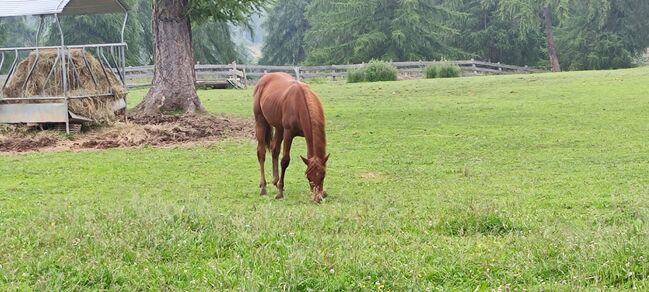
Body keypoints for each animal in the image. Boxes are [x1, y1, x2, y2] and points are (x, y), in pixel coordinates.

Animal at [253, 72, 330, 203]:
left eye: (323, 175)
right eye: (308, 177)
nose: (317, 198)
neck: (300, 103)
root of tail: (264, 78)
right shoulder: (288, 133)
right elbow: (285, 161)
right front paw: (279, 193)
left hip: (279, 127)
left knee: (274, 150)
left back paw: (275, 181)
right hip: (260, 122)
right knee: (261, 153)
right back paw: (263, 187)